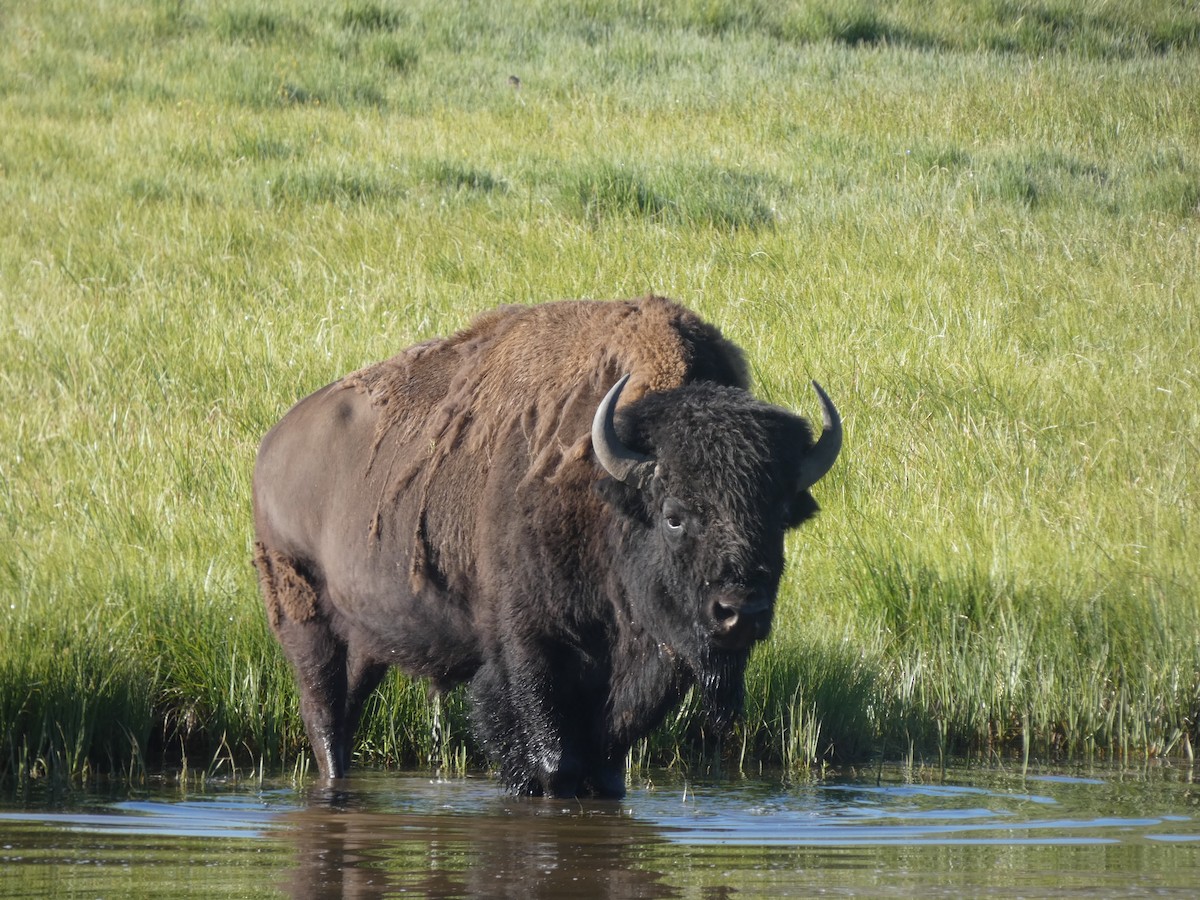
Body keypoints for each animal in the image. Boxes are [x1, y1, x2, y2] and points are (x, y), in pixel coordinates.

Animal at [252, 296, 841, 797]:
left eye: (780, 516)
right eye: (674, 516)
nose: (740, 612)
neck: (608, 492)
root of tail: (274, 443)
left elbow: (606, 759)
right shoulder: (530, 643)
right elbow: (550, 757)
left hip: (367, 640)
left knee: (346, 711)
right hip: (303, 617)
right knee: (324, 715)